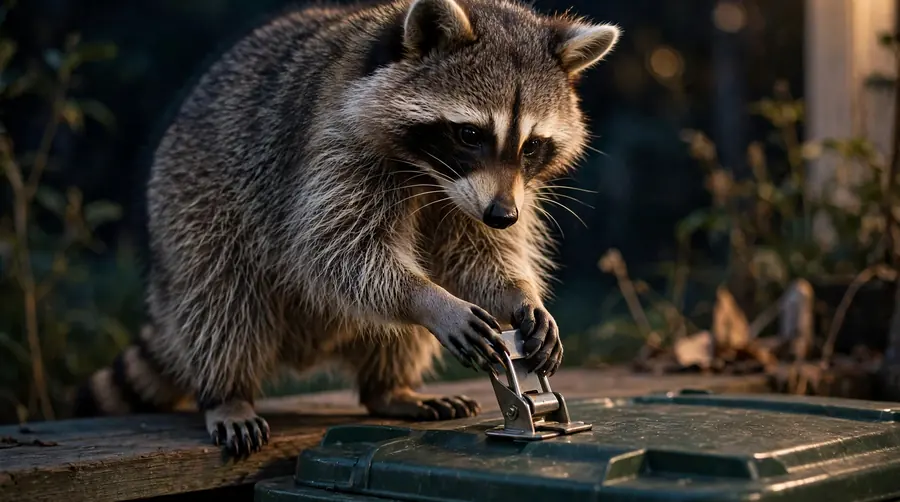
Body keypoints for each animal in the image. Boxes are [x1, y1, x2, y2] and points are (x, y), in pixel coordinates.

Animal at [73, 0, 619, 458]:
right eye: (469, 134)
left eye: (532, 146)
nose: (504, 215)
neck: (430, 173)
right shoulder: (333, 147)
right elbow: (335, 252)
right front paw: (430, 299)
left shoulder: (492, 195)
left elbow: (479, 254)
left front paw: (519, 296)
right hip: (190, 203)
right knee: (222, 297)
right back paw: (228, 392)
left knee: (396, 333)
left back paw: (389, 388)